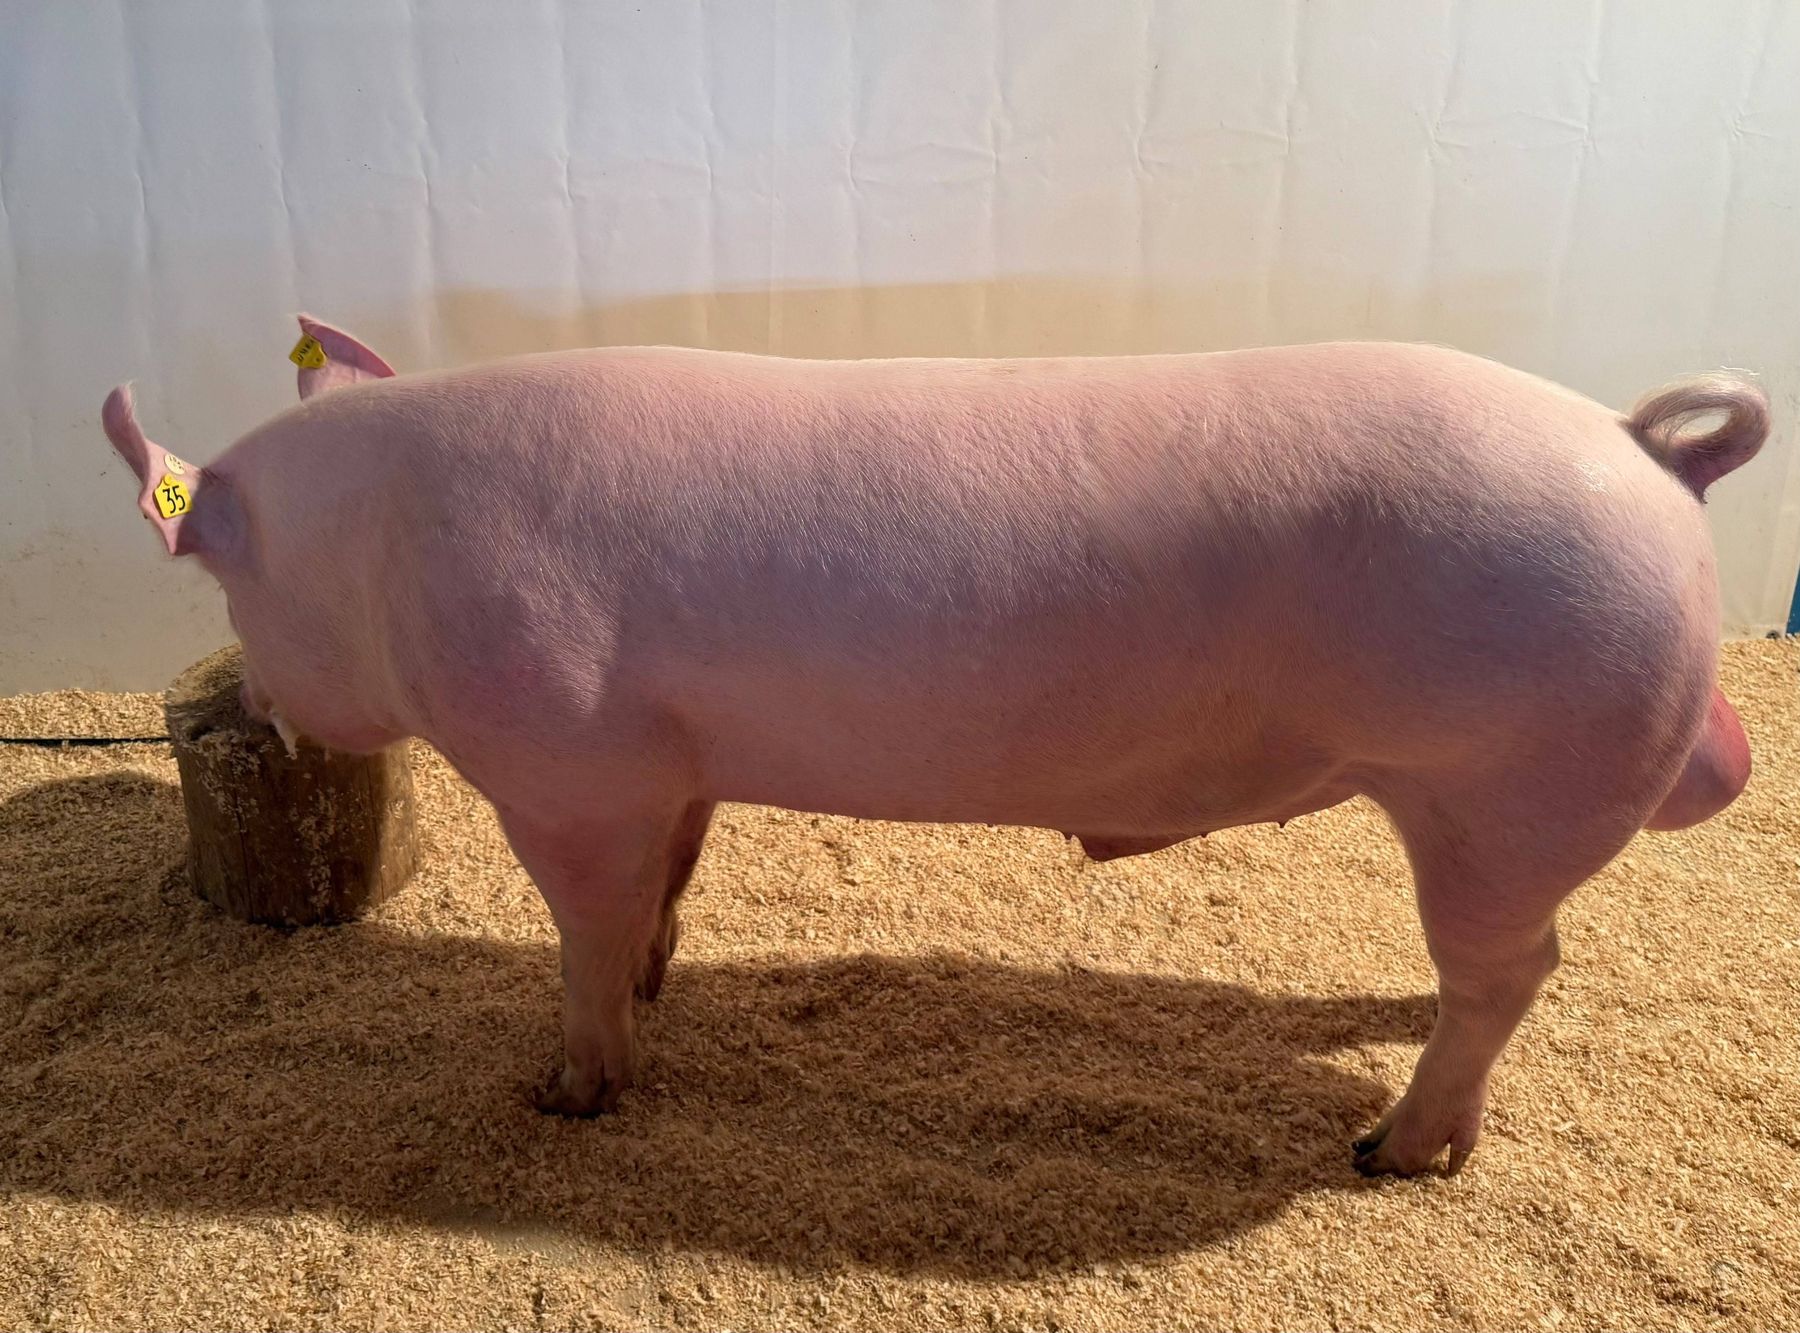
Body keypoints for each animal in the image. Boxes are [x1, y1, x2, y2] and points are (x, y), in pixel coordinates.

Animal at [102, 316, 1762, 1176]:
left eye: (229, 583)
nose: (252, 706)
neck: (379, 544)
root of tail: (1642, 449)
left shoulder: (570, 762)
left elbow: (580, 924)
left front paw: (567, 1094)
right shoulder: (674, 764)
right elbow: (661, 892)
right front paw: (658, 980)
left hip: (1510, 781)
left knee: (1513, 973)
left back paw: (1391, 1151)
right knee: (1504, 966)